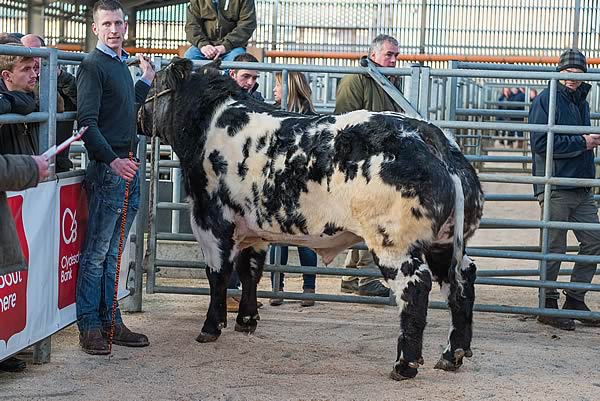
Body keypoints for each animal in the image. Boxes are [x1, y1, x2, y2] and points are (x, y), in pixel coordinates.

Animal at [138, 57, 486, 380]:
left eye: (154, 84)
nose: (138, 113)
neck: (209, 124)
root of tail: (428, 137)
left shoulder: (210, 222)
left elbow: (218, 274)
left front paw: (211, 327)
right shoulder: (254, 228)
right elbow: (251, 271)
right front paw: (246, 321)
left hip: (394, 243)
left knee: (415, 288)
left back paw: (405, 365)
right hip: (443, 242)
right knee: (462, 279)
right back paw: (452, 354)